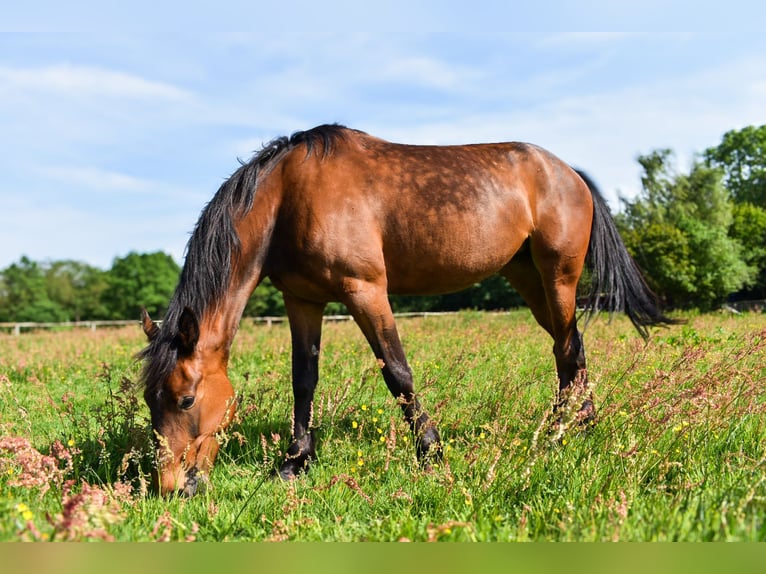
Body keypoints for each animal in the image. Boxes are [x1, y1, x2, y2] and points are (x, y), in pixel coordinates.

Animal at [138, 124, 672, 498]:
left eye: (185, 400)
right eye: (150, 401)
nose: (172, 488)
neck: (289, 195)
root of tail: (568, 172)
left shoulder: (366, 290)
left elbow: (397, 372)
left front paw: (431, 453)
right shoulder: (304, 300)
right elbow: (304, 380)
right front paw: (295, 462)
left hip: (558, 277)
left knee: (567, 347)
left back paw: (560, 431)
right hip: (527, 279)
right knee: (569, 348)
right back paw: (577, 423)